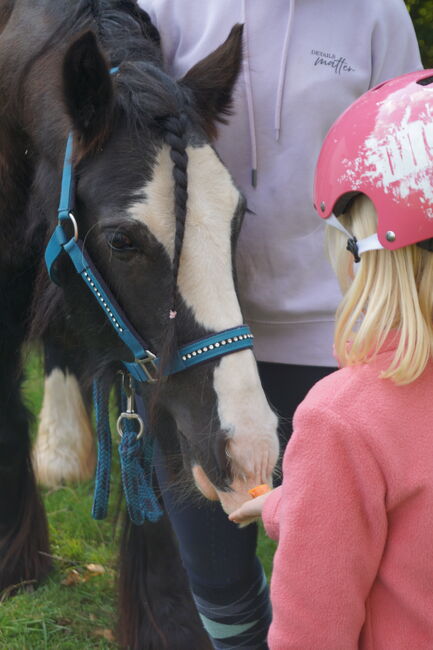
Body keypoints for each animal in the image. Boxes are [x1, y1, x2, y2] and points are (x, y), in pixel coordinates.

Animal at [0, 2, 276, 644]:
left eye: (239, 217)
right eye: (122, 240)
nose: (251, 447)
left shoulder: (152, 367)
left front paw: (166, 622)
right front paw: (15, 568)